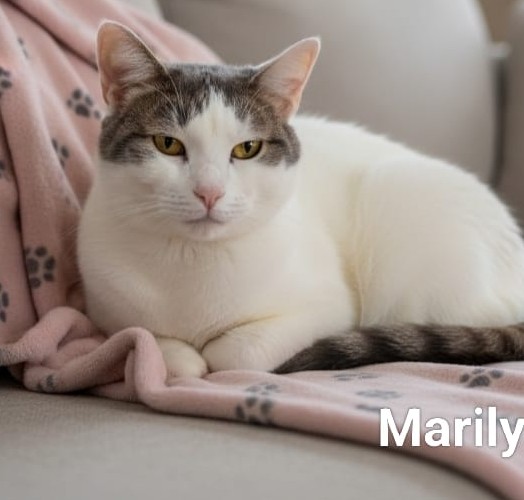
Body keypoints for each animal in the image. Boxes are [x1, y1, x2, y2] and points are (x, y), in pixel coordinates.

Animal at [77, 21, 524, 379]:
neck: (193, 263)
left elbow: (236, 352)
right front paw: (178, 354)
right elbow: (144, 336)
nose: (210, 192)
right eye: (167, 144)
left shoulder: (332, 308)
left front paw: (212, 354)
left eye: (247, 149)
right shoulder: (103, 307)